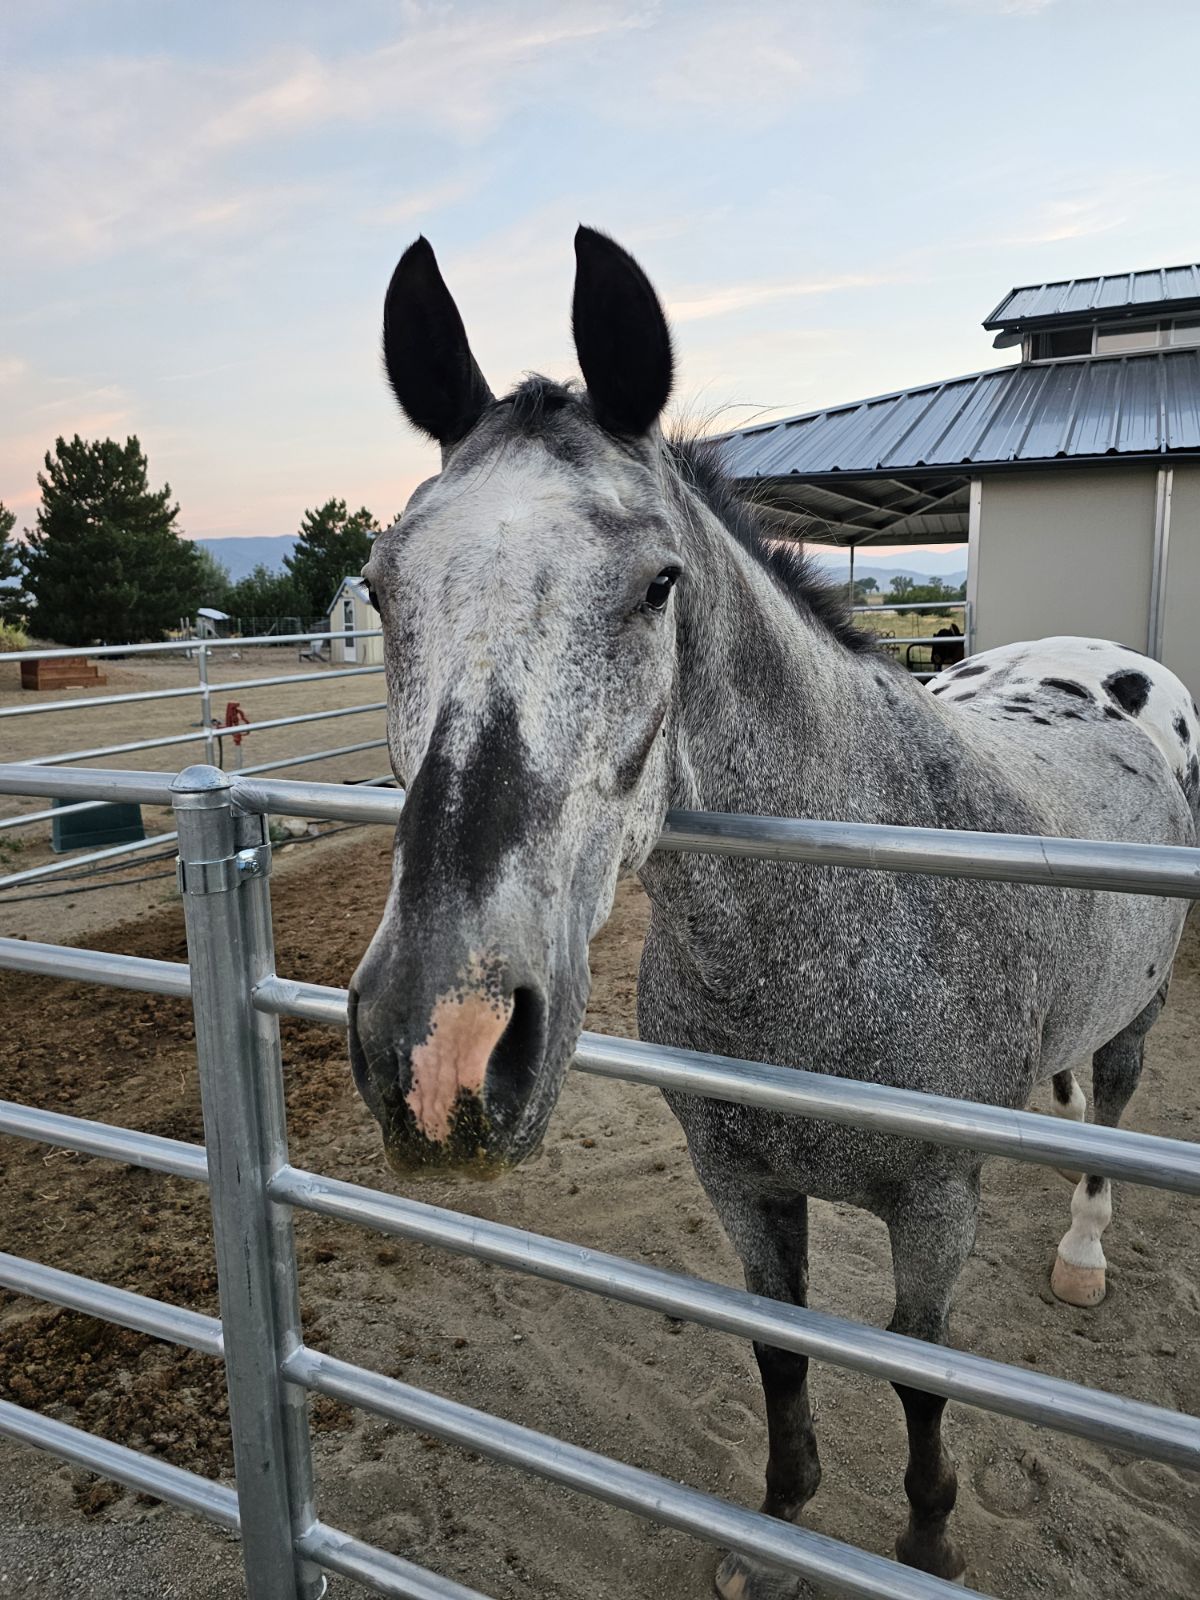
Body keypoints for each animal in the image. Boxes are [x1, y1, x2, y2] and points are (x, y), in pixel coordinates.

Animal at [348, 227, 1200, 1594]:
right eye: (379, 587)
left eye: (657, 584)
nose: (446, 1050)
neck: (831, 938)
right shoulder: (743, 1188)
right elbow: (783, 1351)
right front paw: (776, 1529)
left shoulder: (933, 1207)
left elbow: (918, 1375)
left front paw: (926, 1538)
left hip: (1140, 1015)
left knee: (1106, 1120)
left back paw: (1082, 1253)